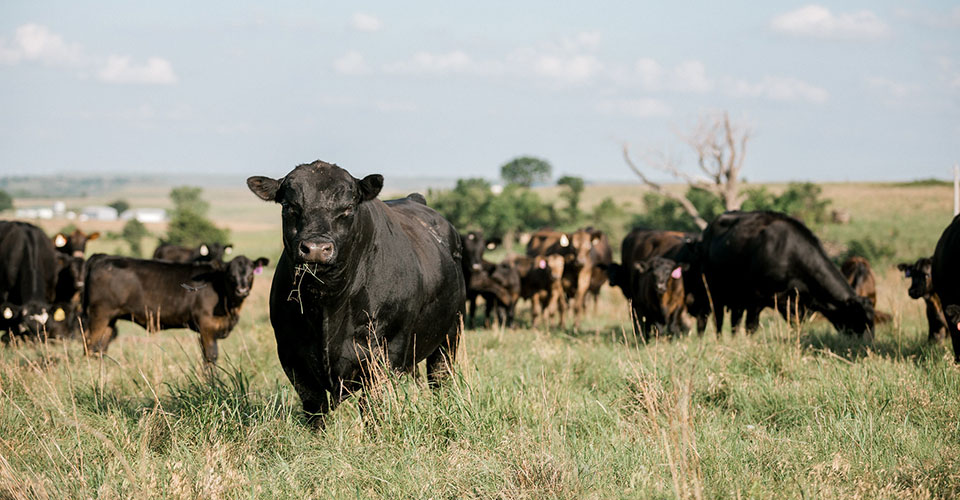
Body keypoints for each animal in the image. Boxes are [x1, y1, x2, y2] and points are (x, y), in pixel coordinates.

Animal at [83, 254, 269, 366]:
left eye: (251, 273)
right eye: (231, 275)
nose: (242, 290)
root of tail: (104, 257)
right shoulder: (207, 327)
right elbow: (210, 358)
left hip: (110, 319)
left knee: (100, 348)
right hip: (99, 315)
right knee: (90, 346)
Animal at [247, 160, 465, 423]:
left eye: (348, 208)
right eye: (289, 206)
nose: (317, 248)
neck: (328, 303)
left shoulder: (386, 352)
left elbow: (372, 405)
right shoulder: (292, 354)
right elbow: (315, 408)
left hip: (450, 334)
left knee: (440, 377)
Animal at [697, 211, 874, 338]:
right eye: (860, 318)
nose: (868, 344)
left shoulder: (793, 305)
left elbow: (796, 325)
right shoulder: (756, 299)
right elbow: (751, 327)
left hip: (737, 298)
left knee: (734, 321)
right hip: (714, 292)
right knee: (718, 320)